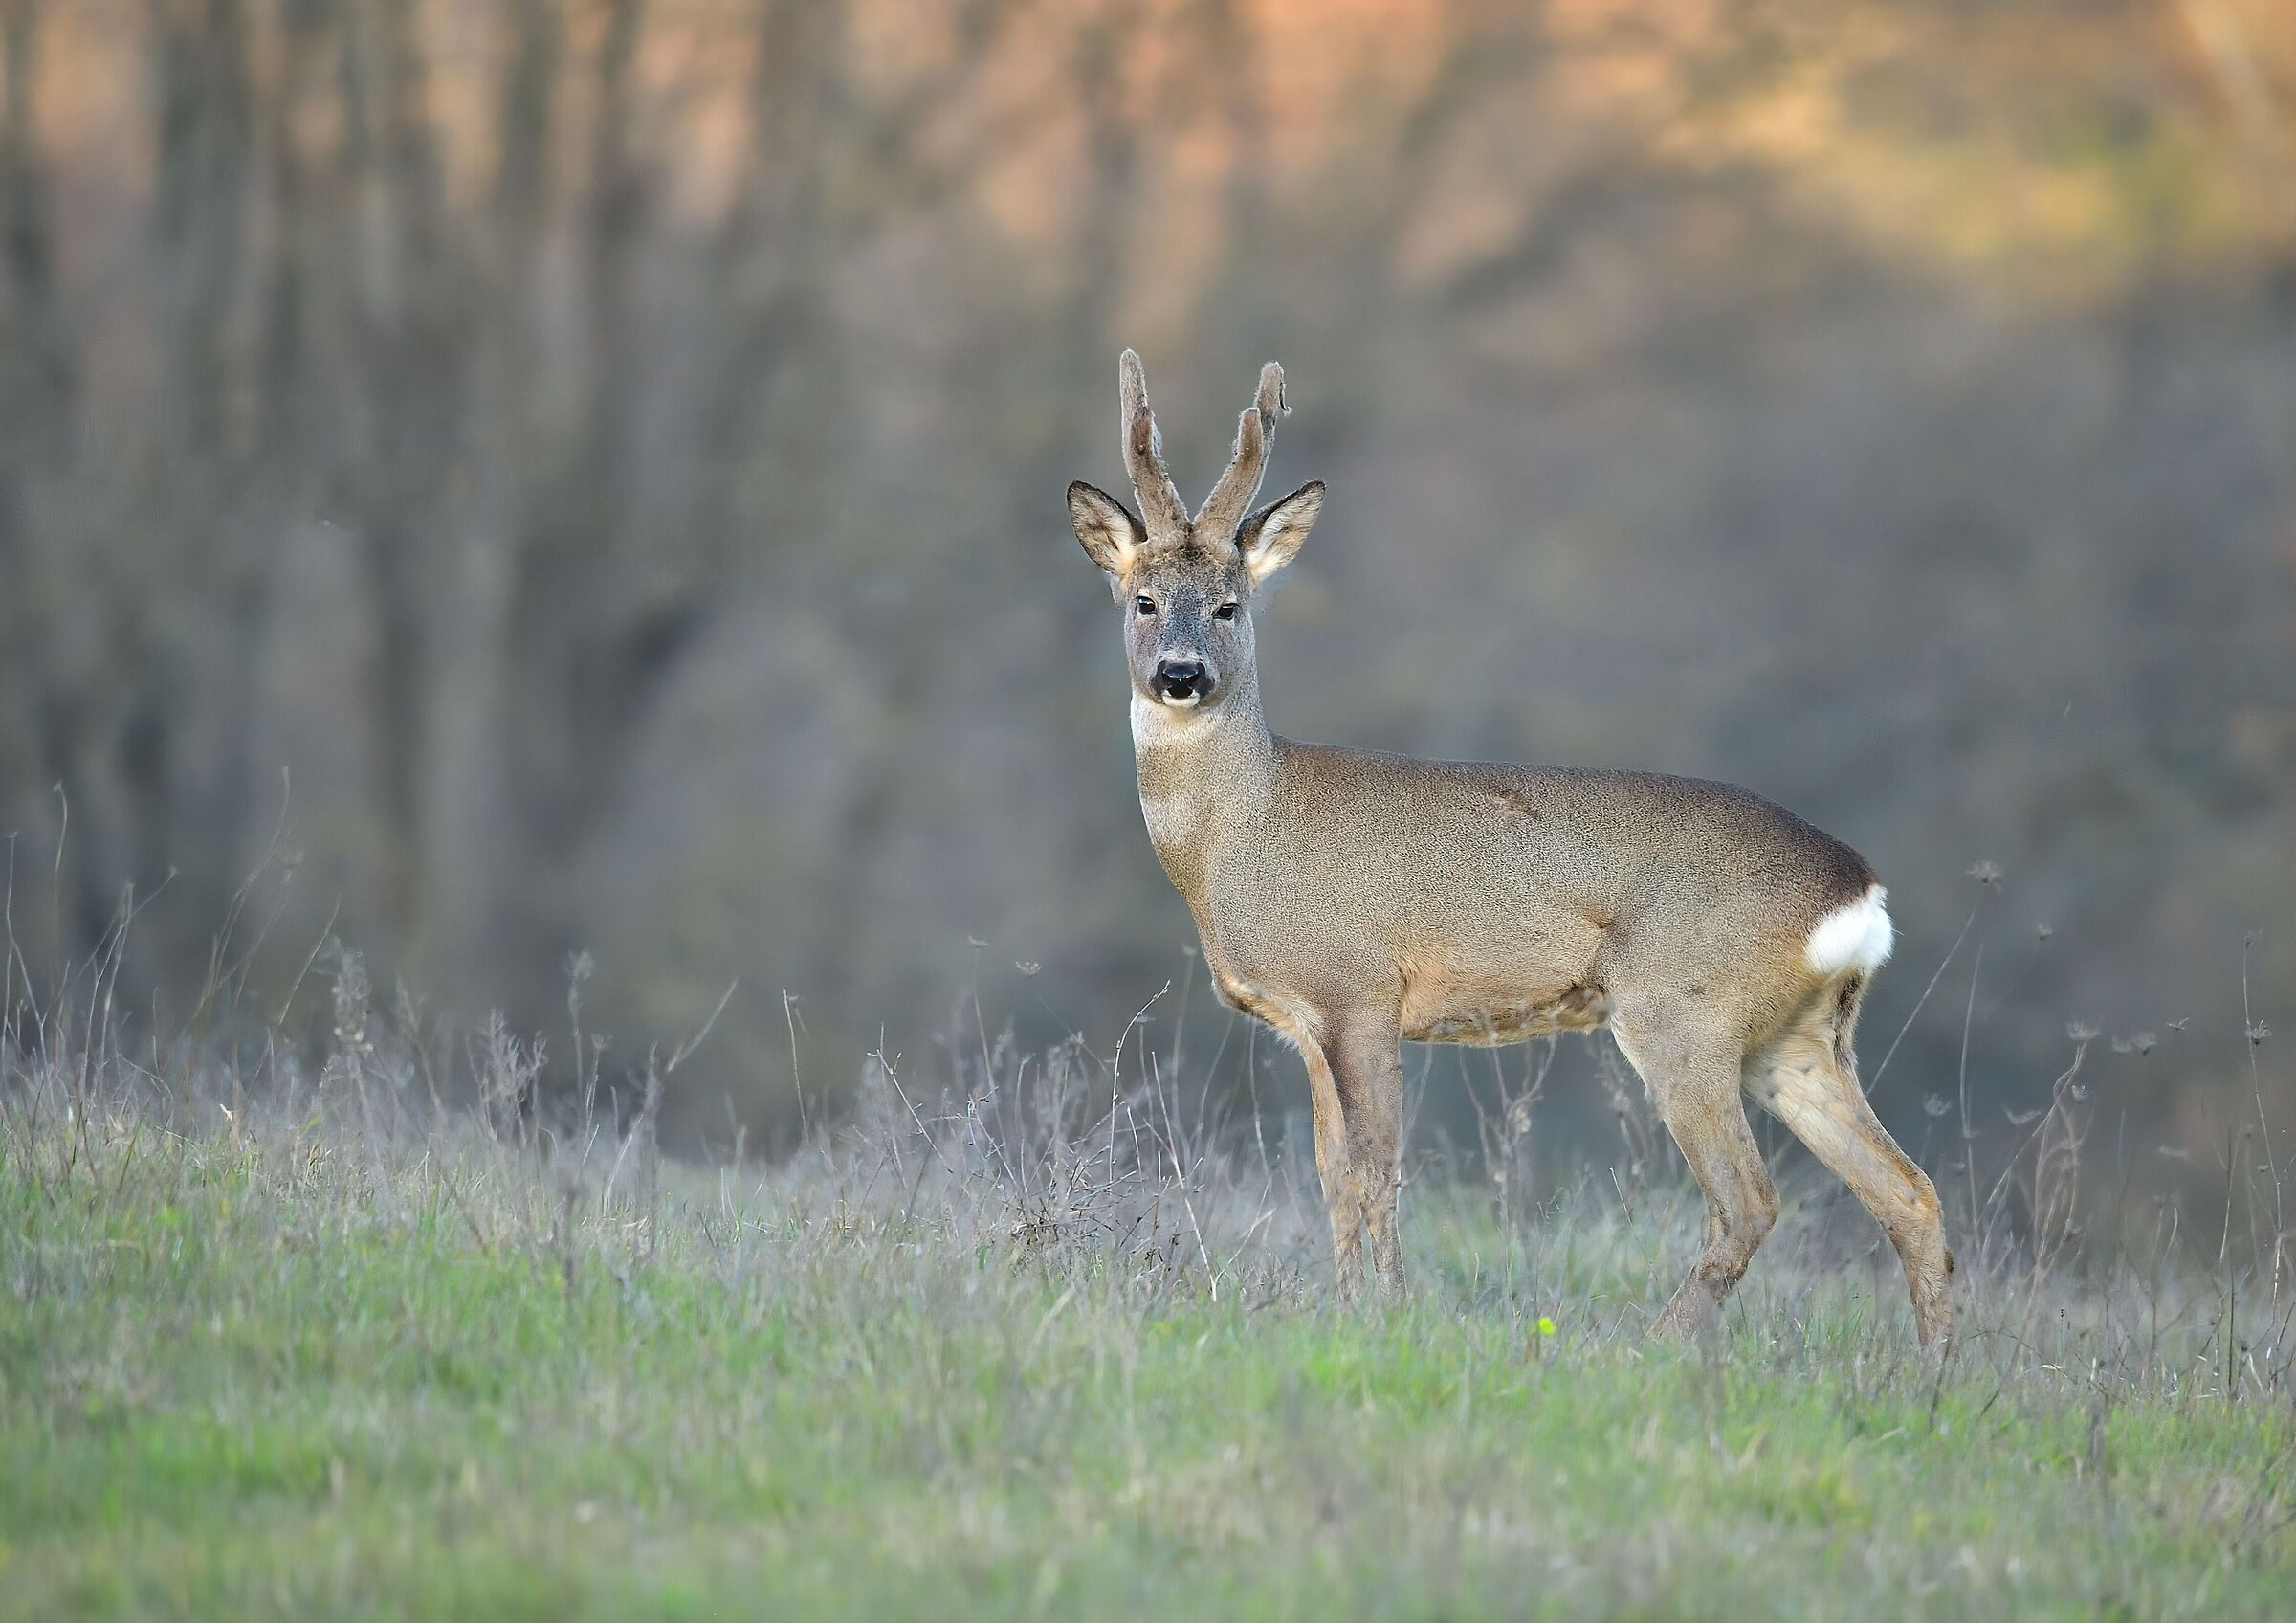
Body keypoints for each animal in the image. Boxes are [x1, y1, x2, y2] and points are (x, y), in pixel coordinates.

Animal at [1066, 351, 1953, 1345]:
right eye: (1144, 600)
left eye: (1228, 606)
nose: (1180, 674)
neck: (1243, 834)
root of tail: (1859, 890)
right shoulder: (1306, 1024)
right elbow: (1333, 1176)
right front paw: (1345, 1312)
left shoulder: (1360, 992)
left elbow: (1376, 1171)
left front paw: (1391, 1313)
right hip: (1796, 1040)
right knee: (1910, 1193)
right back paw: (1933, 1372)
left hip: (1683, 1011)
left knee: (1750, 1200)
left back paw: (1650, 1349)